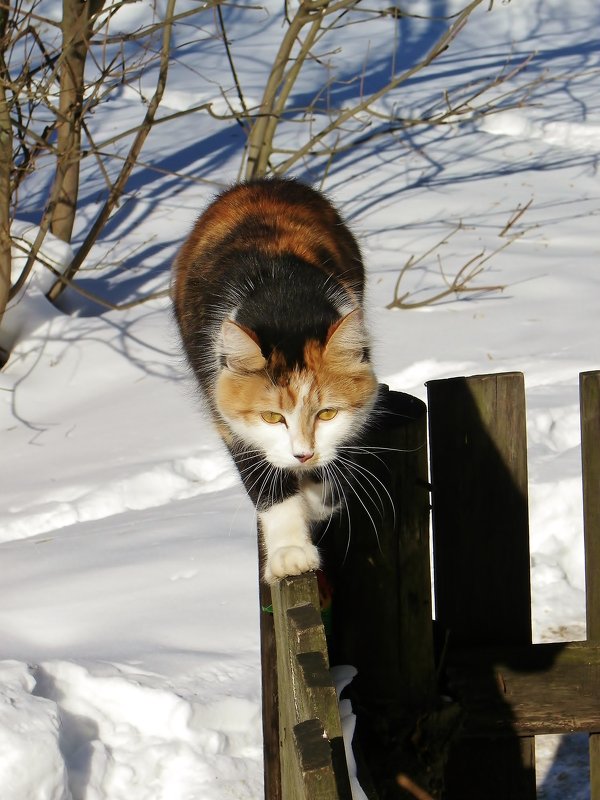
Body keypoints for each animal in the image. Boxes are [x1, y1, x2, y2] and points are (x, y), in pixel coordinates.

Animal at [171, 178, 378, 584]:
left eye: (327, 414)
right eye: (271, 417)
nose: (303, 454)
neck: (284, 305)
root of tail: (261, 182)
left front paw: (315, 501)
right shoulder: (227, 421)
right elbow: (267, 485)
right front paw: (291, 553)